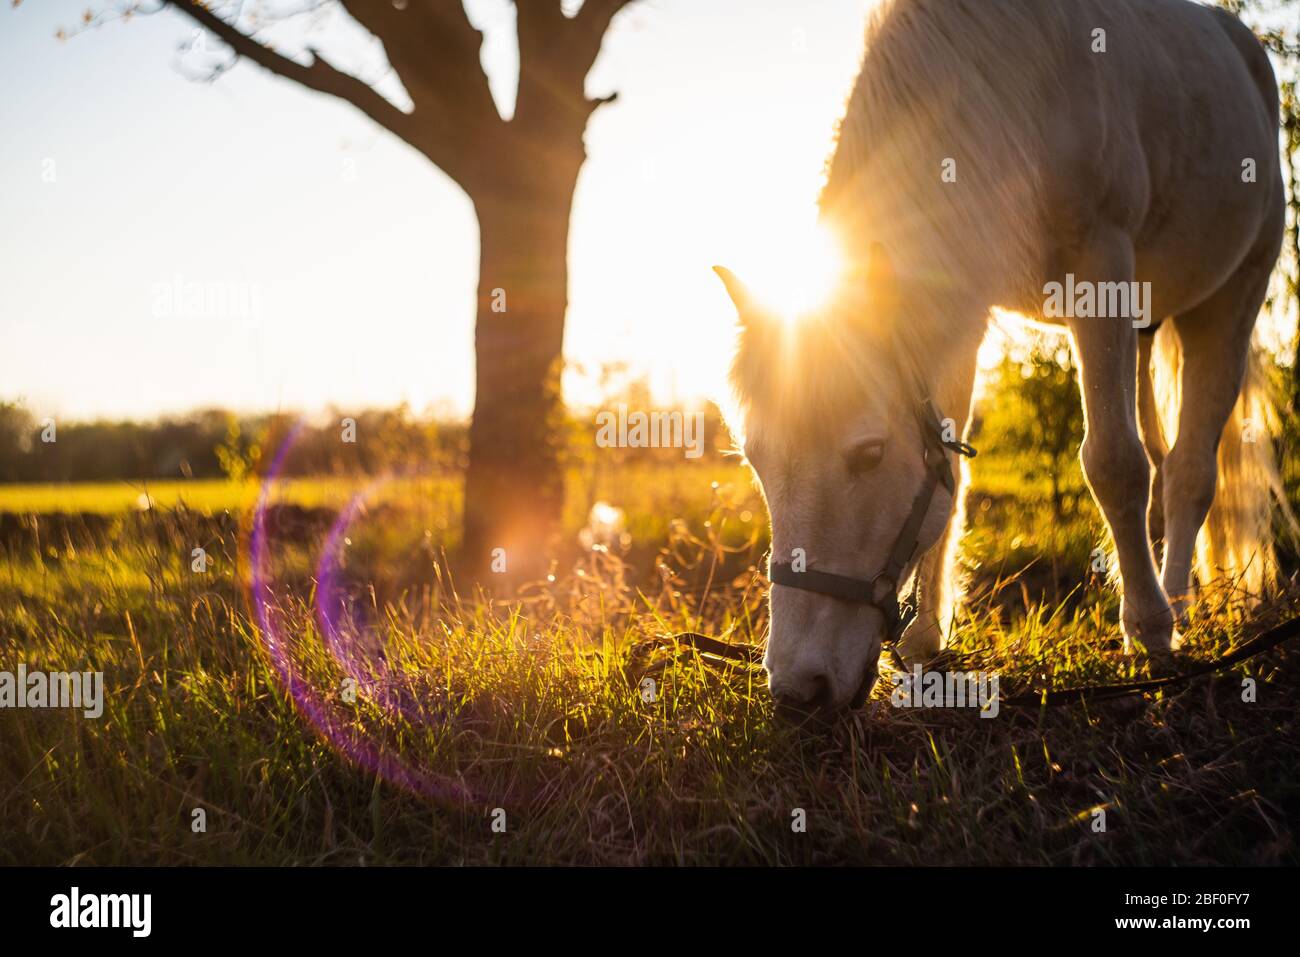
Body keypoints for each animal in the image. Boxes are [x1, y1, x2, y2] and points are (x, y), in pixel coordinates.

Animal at [722, 0, 1289, 712]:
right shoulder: (960, 309)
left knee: (1188, 470)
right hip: (1145, 324)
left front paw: (1149, 630)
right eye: (757, 459)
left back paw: (1176, 605)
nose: (799, 687)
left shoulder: (1100, 263)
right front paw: (926, 637)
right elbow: (952, 472)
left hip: (1232, 295)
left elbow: (1114, 464)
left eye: (869, 454)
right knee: (1164, 459)